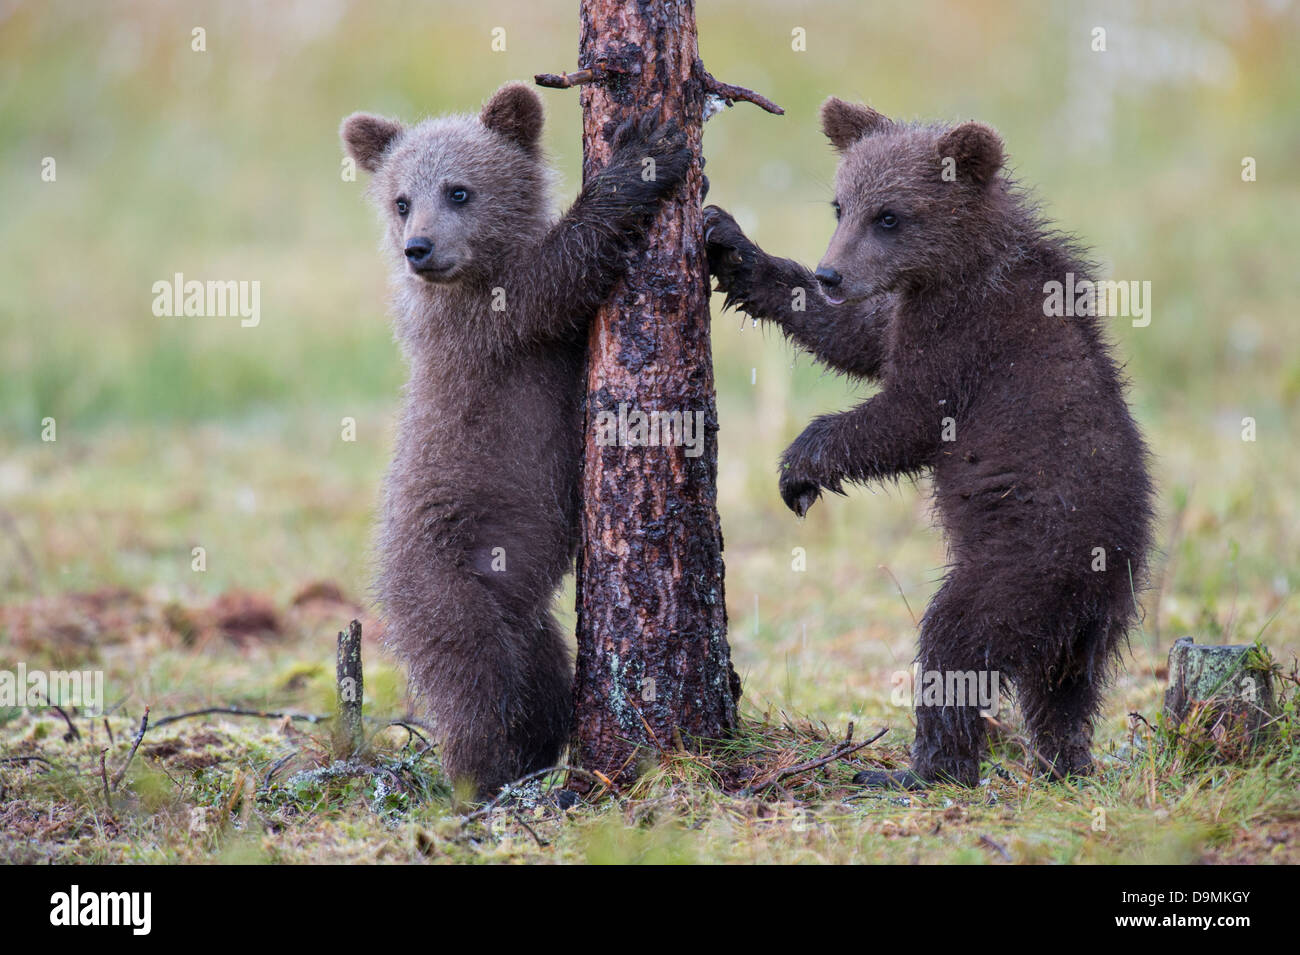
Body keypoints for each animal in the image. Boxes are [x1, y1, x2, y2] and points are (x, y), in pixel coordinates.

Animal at [341, 83, 690, 799]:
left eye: (459, 190)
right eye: (401, 199)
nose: (419, 247)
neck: (474, 269)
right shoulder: (489, 322)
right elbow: (558, 276)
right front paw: (642, 153)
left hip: (522, 612)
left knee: (543, 679)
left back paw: (539, 749)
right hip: (444, 580)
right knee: (472, 679)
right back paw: (481, 778)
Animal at [703, 98, 1154, 787]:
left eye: (889, 215)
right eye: (840, 205)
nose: (832, 273)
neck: (954, 265)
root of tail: (1108, 576)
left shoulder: (966, 338)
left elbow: (906, 416)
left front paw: (798, 468)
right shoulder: (902, 308)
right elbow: (852, 337)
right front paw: (730, 245)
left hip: (1024, 560)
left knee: (955, 644)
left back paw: (915, 771)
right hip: (1086, 623)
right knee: (1065, 691)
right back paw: (1063, 762)